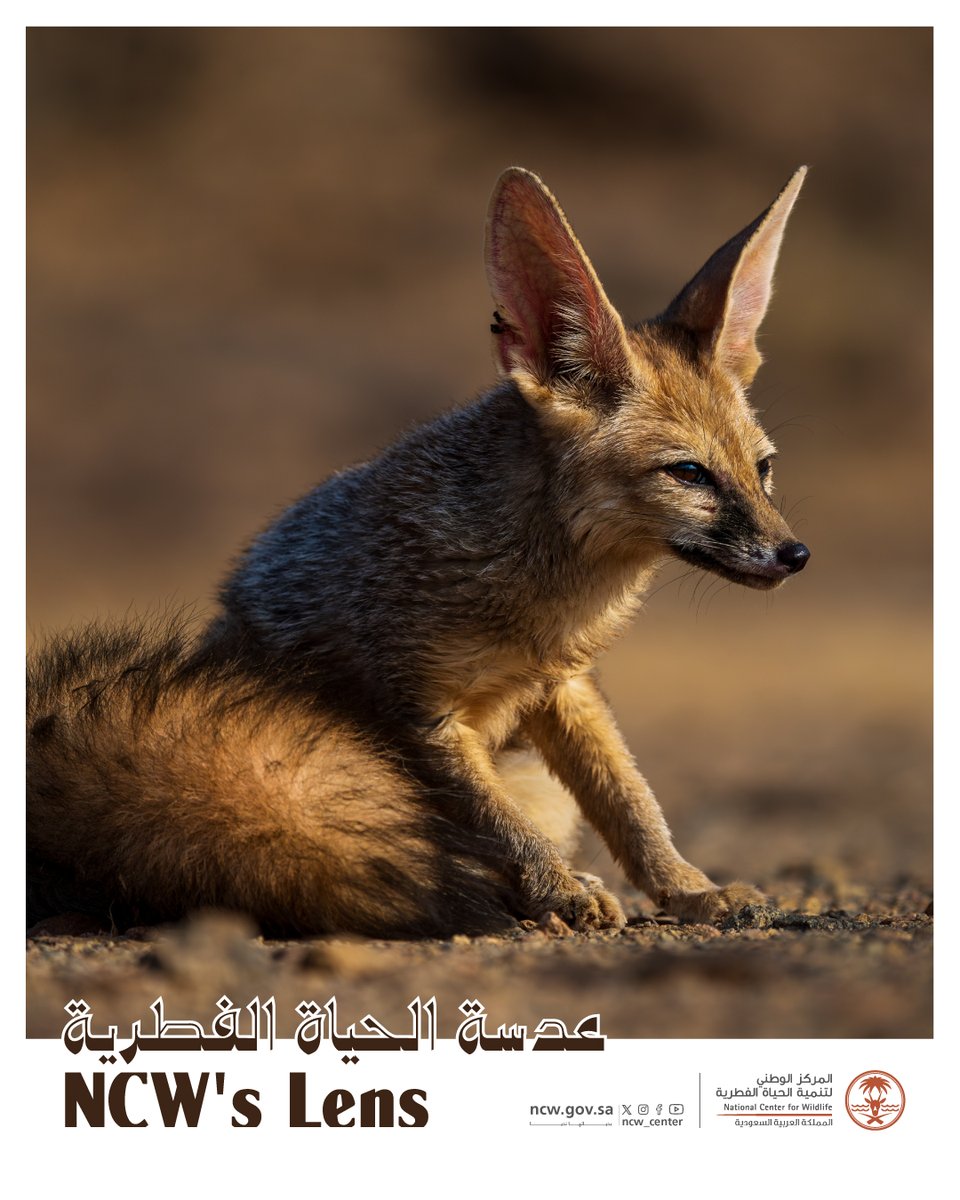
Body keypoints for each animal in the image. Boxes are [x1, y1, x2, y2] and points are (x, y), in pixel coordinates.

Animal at [28, 165, 810, 939]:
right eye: (690, 474)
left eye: (763, 468)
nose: (794, 554)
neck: (539, 595)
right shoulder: (422, 714)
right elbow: (501, 824)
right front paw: (558, 891)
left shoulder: (564, 688)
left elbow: (630, 801)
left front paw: (690, 889)